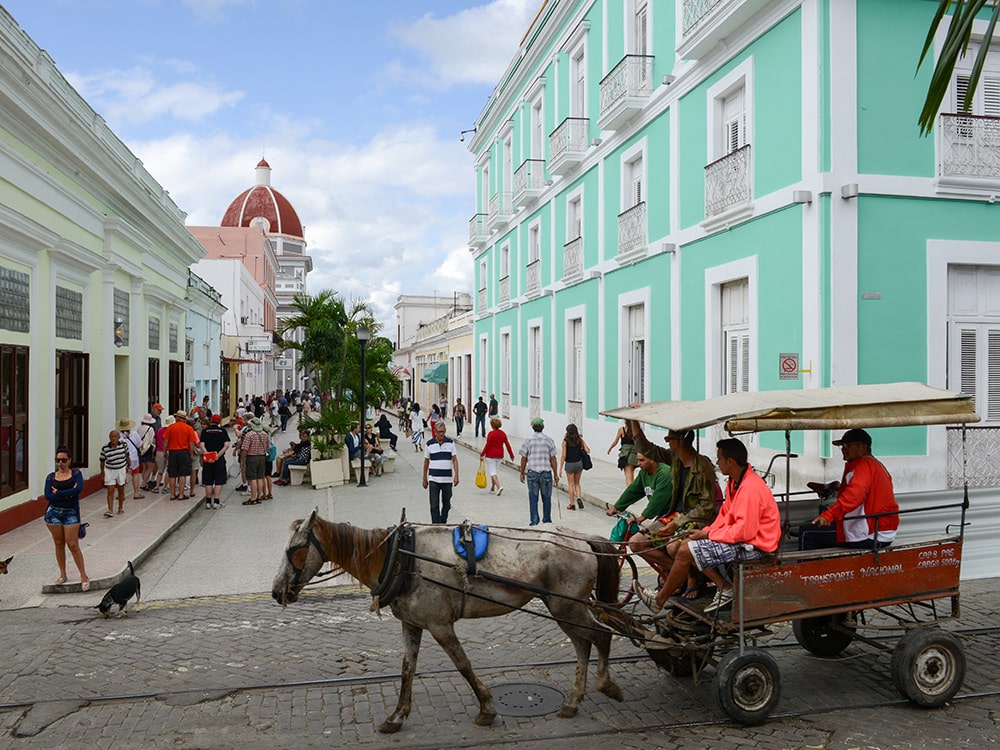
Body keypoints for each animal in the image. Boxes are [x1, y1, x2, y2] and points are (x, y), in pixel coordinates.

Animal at [270, 512, 620, 736]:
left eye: (295, 550)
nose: (276, 592)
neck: (400, 557)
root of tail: (582, 538)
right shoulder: (412, 624)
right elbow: (407, 670)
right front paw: (397, 716)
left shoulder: (440, 625)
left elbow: (463, 665)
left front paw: (486, 709)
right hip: (564, 608)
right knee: (583, 644)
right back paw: (573, 701)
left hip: (567, 607)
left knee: (600, 637)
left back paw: (606, 684)